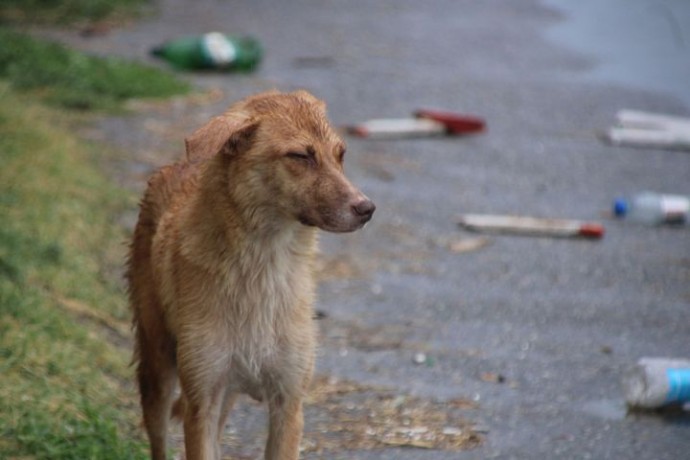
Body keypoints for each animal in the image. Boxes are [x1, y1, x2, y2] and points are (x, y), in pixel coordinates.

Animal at [127, 90, 376, 460]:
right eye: (300, 156)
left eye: (340, 154)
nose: (366, 209)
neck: (263, 266)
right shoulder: (201, 400)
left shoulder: (288, 403)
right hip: (157, 371)